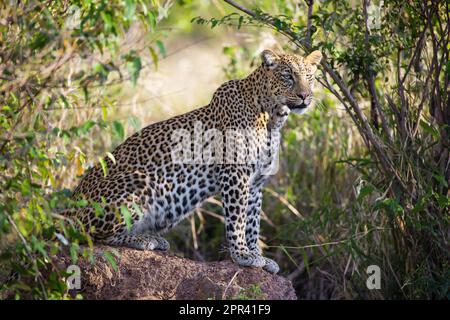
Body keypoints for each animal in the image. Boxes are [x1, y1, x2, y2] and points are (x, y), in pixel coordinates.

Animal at [67, 48, 322, 274]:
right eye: (288, 76)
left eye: (310, 78)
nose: (305, 96)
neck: (272, 116)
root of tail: (67, 211)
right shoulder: (235, 174)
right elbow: (237, 219)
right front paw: (242, 255)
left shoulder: (256, 183)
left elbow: (252, 222)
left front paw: (258, 256)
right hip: (139, 181)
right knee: (92, 236)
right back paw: (142, 239)